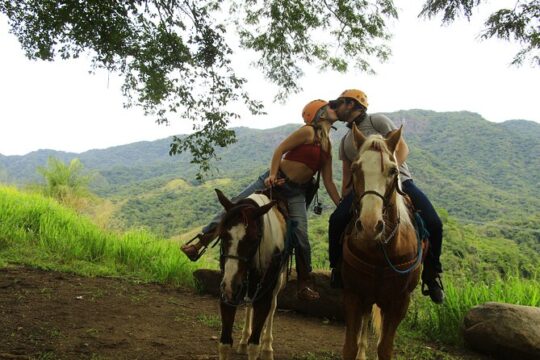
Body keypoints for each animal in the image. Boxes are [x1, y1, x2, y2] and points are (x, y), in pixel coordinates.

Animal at [215, 188, 292, 360]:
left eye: (253, 239)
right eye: (222, 235)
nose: (230, 285)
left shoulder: (264, 296)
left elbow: (254, 346)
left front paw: (261, 347)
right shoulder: (227, 293)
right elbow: (224, 344)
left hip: (277, 282)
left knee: (273, 306)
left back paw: (267, 347)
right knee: (249, 303)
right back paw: (243, 341)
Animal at [342, 124, 426, 360]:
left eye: (393, 171)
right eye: (355, 169)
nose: (370, 225)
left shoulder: (399, 303)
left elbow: (385, 348)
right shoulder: (353, 294)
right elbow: (350, 347)